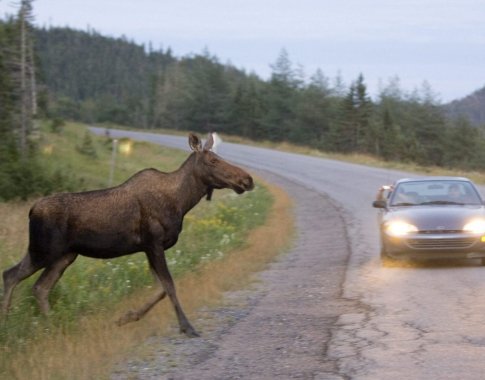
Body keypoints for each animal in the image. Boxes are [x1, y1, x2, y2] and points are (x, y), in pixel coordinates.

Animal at [1, 133, 253, 336]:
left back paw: (51, 326)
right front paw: (187, 327)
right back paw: (9, 323)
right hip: (44, 250)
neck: (182, 202)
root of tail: (31, 210)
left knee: (40, 287)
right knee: (11, 275)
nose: (247, 179)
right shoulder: (153, 242)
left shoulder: (149, 248)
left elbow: (160, 289)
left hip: (64, 255)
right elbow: (169, 285)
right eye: (213, 160)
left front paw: (126, 317)